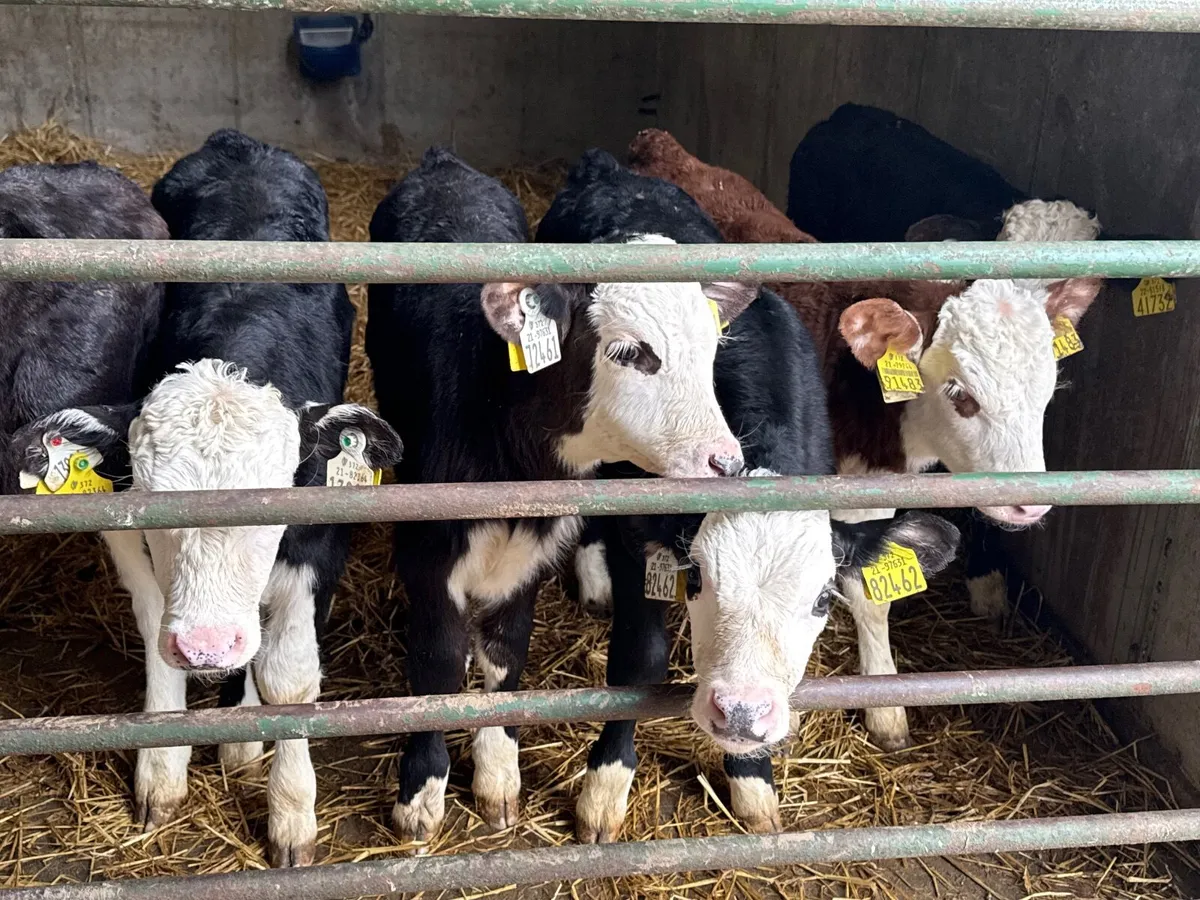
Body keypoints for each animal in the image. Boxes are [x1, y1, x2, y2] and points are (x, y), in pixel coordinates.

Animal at [14, 129, 404, 868]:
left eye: (276, 496)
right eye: (153, 499)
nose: (205, 646)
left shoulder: (320, 544)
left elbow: (289, 675)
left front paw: (290, 811)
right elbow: (151, 622)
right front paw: (163, 767)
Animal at [366, 146, 754, 847]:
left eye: (713, 347)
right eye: (630, 352)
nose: (725, 460)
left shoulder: (531, 557)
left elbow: (506, 657)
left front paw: (497, 774)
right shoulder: (428, 552)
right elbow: (437, 663)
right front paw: (422, 792)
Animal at [537, 150, 960, 840]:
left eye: (823, 599)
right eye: (696, 580)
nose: (739, 712)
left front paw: (753, 781)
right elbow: (639, 658)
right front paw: (605, 788)